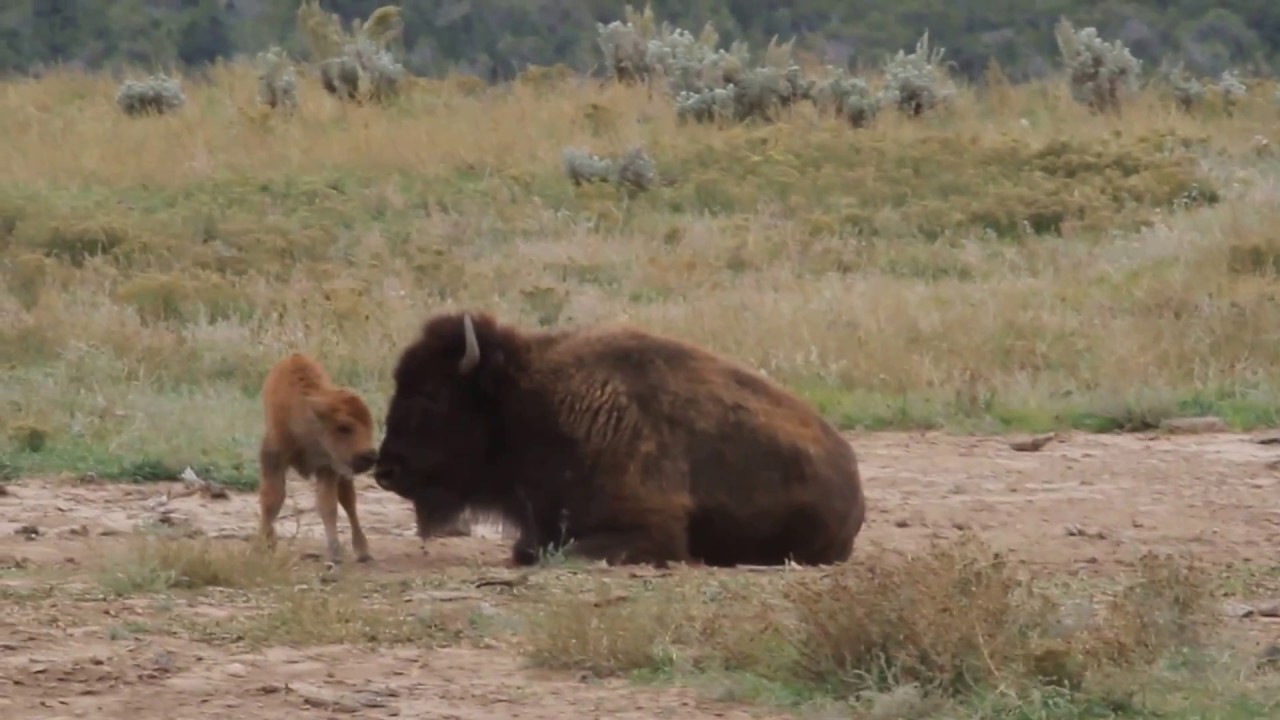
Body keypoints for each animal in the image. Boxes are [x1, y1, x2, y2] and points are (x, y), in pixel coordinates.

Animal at [258, 352, 379, 564]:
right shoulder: (273, 460)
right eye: (343, 427)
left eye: (370, 424)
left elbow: (328, 506)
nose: (369, 456)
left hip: (344, 470)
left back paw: (363, 551)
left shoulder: (328, 467)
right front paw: (266, 544)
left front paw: (335, 552)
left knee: (349, 502)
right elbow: (271, 501)